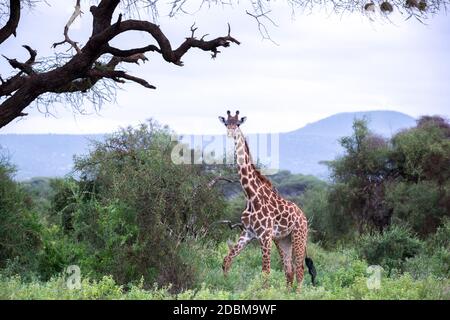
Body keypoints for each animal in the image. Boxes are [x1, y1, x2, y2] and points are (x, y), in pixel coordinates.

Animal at [219, 110, 316, 290]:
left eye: (238, 124)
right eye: (226, 123)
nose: (230, 133)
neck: (250, 196)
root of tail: (303, 216)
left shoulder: (264, 235)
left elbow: (265, 271)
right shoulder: (248, 232)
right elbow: (227, 260)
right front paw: (225, 286)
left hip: (299, 235)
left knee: (299, 269)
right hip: (283, 239)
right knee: (289, 270)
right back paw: (287, 292)